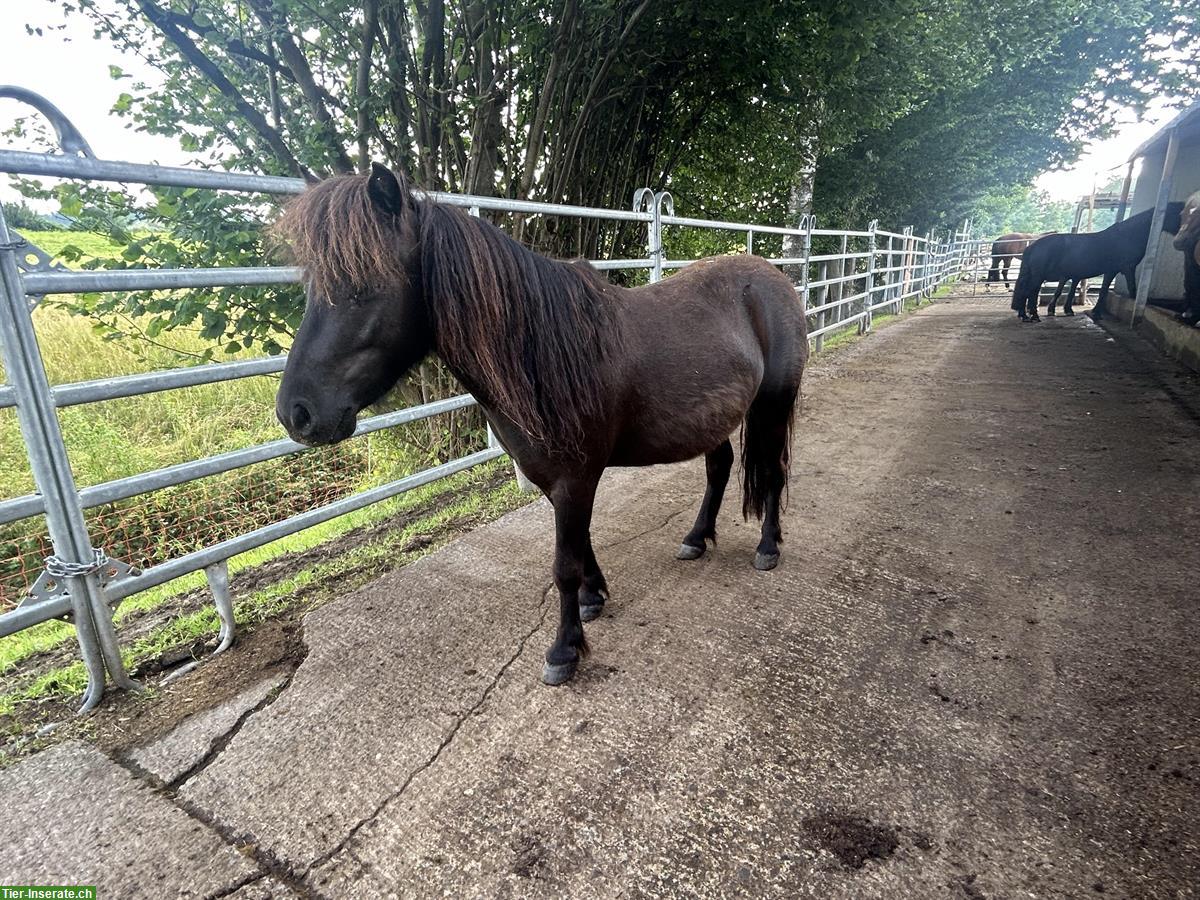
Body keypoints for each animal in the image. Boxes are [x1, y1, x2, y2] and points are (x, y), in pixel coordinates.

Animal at [273, 164, 811, 681]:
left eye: (361, 288)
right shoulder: (559, 481)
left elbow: (563, 565)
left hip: (772, 406)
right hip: (712, 417)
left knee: (773, 472)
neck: (548, 351)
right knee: (719, 467)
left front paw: (564, 650)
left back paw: (768, 546)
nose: (296, 414)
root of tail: (774, 278)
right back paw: (696, 539)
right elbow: (581, 545)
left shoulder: (575, 478)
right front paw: (594, 598)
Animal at [1012, 206, 1180, 326]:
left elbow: (1072, 291)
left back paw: (1025, 314)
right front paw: (1097, 313)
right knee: (1030, 291)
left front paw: (1068, 310)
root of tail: (1032, 246)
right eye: (1178, 212)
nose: (1180, 237)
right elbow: (1122, 290)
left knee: (1028, 291)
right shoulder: (1123, 268)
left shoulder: (1076, 274)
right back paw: (1031, 315)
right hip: (1038, 275)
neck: (1128, 236)